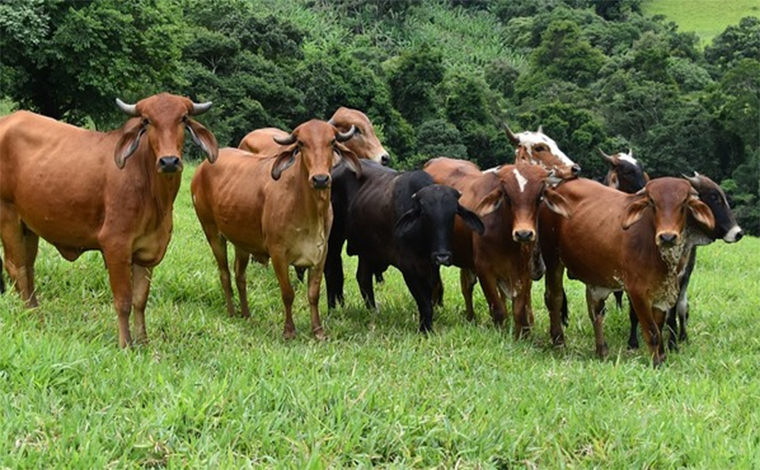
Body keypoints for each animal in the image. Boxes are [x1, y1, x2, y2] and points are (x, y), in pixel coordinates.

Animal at [0, 93, 220, 346]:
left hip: (29, 226)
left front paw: (143, 342)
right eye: (147, 121)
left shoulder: (146, 252)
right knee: (16, 269)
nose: (169, 161)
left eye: (183, 118)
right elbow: (123, 301)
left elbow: (140, 300)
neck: (155, 196)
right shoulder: (116, 245)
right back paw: (33, 318)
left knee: (28, 269)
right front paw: (126, 344)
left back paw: (37, 315)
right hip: (8, 216)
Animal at [194, 117, 364, 338]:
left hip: (242, 242)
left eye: (332, 142)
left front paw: (318, 331)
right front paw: (289, 331)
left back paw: (246, 314)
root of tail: (203, 166)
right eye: (301, 143)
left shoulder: (321, 253)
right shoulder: (278, 253)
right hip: (212, 232)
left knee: (240, 275)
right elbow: (288, 293)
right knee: (225, 273)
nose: (320, 179)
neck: (310, 211)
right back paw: (232, 313)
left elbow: (313, 294)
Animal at [326, 162, 480, 334]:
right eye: (424, 214)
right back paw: (332, 309)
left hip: (367, 250)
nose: (442, 256)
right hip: (334, 239)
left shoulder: (431, 269)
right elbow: (425, 304)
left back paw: (373, 311)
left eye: (453, 213)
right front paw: (426, 330)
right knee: (332, 272)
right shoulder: (408, 268)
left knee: (363, 278)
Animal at [422, 160, 568, 336]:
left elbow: (519, 310)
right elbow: (498, 309)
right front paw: (500, 332)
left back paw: (470, 318)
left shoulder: (524, 272)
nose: (524, 234)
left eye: (539, 196)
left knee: (466, 286)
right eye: (507, 196)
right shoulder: (484, 269)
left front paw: (521, 336)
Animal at [536, 178, 716, 366]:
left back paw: (602, 350)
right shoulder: (637, 293)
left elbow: (659, 328)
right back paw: (559, 342)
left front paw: (662, 357)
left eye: (684, 202)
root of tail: (556, 187)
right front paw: (656, 363)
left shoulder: (662, 294)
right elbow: (652, 332)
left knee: (594, 309)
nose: (667, 237)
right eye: (652, 202)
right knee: (554, 298)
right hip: (552, 259)